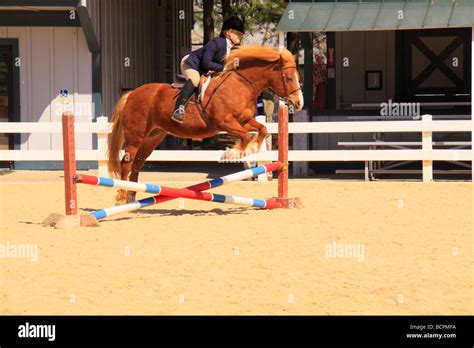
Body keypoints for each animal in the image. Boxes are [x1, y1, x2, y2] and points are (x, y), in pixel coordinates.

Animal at [107, 46, 304, 204]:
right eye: (288, 78)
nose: (298, 103)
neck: (241, 85)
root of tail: (132, 93)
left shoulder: (244, 120)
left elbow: (262, 129)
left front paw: (252, 150)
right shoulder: (224, 121)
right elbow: (245, 135)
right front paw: (234, 153)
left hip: (153, 137)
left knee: (137, 163)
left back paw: (131, 197)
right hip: (136, 136)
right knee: (127, 163)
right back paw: (121, 197)